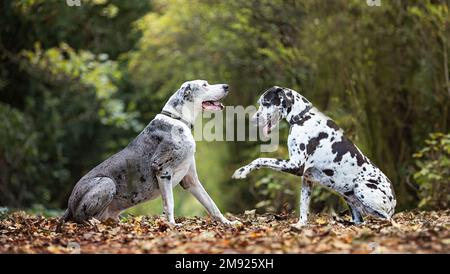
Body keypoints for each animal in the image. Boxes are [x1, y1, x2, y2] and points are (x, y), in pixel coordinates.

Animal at [58, 79, 237, 229]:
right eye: (205, 85)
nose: (227, 86)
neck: (178, 119)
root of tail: (69, 205)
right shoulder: (162, 169)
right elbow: (170, 203)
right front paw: (172, 226)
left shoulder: (191, 180)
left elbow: (211, 204)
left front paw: (228, 223)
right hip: (107, 183)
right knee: (82, 219)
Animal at [234, 86, 396, 228]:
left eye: (266, 102)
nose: (252, 120)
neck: (303, 117)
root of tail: (394, 202)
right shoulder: (307, 179)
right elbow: (303, 207)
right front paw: (301, 225)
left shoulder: (295, 166)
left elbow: (260, 159)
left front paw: (242, 171)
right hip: (348, 197)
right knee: (359, 220)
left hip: (361, 188)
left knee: (386, 219)